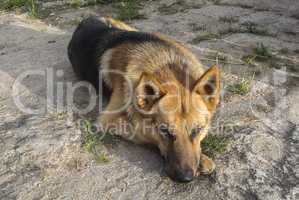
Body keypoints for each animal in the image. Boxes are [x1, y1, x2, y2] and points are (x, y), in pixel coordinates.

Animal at [68, 16, 223, 182]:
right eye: (164, 131)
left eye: (197, 130)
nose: (185, 178)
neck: (166, 64)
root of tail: (87, 18)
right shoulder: (108, 120)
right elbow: (144, 133)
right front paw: (202, 159)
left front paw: (202, 158)